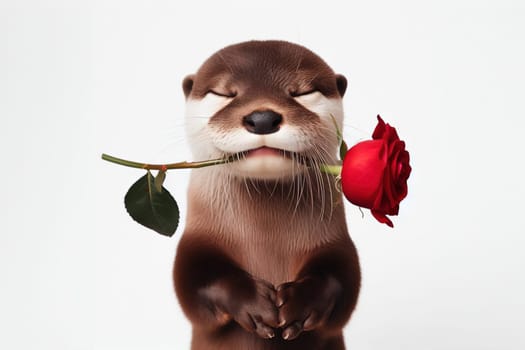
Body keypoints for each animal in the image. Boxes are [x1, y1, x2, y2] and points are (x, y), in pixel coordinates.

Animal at [174, 39, 358, 348]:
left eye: (302, 92)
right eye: (225, 93)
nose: (262, 118)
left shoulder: (336, 240)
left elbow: (343, 279)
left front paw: (300, 302)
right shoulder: (196, 240)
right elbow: (193, 281)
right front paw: (252, 302)